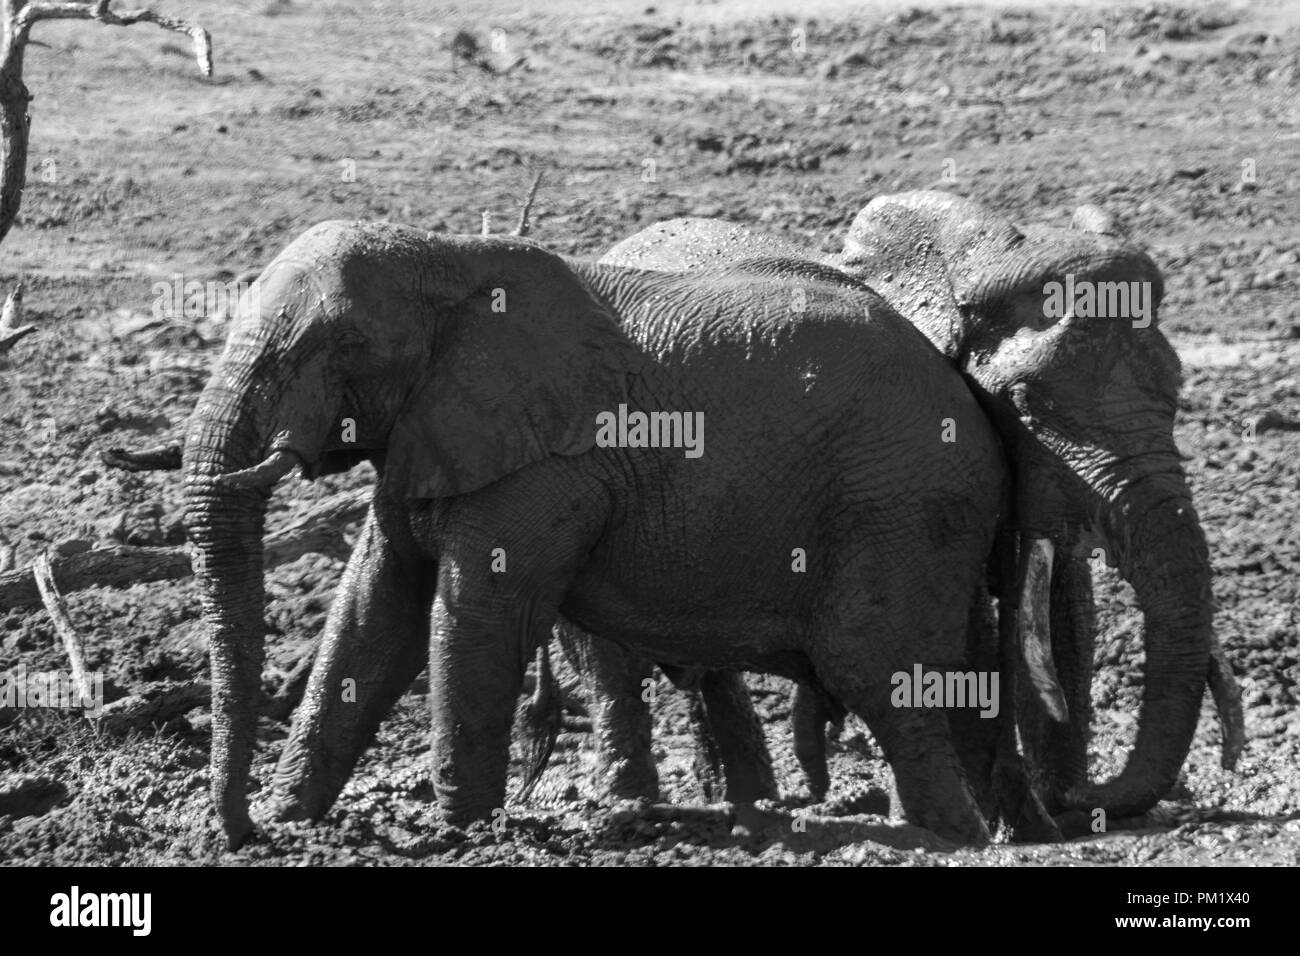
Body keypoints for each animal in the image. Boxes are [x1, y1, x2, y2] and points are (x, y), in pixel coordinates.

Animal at [183, 221, 1019, 848]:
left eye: (337, 347)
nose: (237, 830)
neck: (446, 257)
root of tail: (968, 394)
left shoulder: (551, 468)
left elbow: (476, 621)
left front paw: (461, 838)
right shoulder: (427, 436)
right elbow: (372, 617)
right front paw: (292, 824)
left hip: (901, 506)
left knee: (880, 679)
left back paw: (942, 838)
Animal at [566, 191, 1237, 827]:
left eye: (1177, 387)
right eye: (1025, 401)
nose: (1080, 799)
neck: (958, 275)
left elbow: (1059, 613)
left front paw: (1047, 819)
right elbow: (971, 631)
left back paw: (749, 801)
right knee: (612, 664)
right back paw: (637, 807)